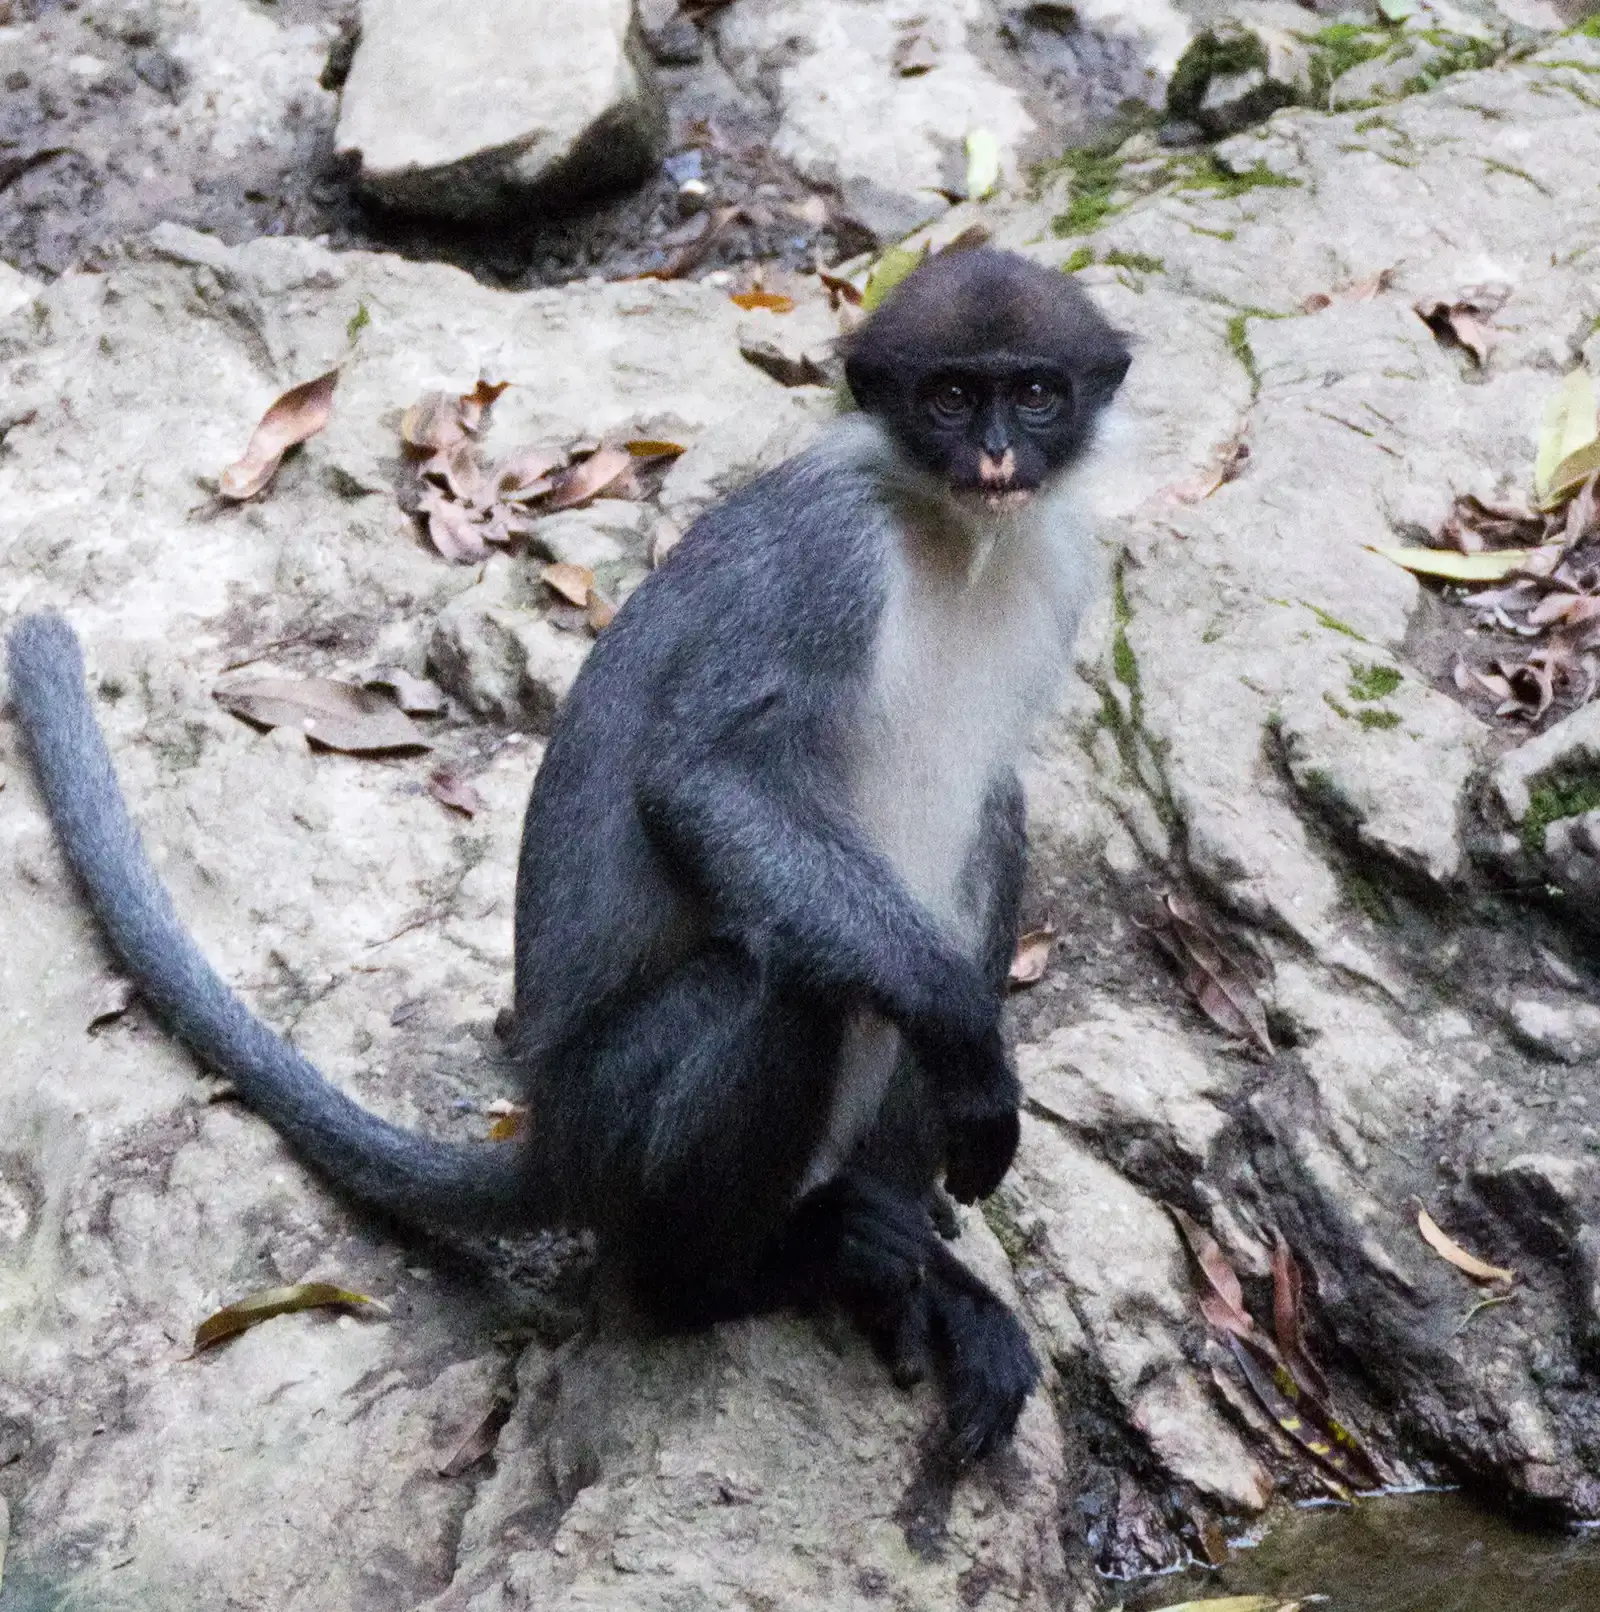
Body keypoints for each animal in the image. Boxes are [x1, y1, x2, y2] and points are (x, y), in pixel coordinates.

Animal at [6, 247, 1130, 1465]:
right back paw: (737, 1277)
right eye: (951, 398)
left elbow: (985, 807)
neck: (951, 541)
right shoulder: (824, 559)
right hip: (615, 1120)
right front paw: (968, 1039)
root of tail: (548, 1138)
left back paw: (895, 1249)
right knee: (782, 981)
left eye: (1034, 393)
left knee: (988, 827)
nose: (998, 456)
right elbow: (704, 783)